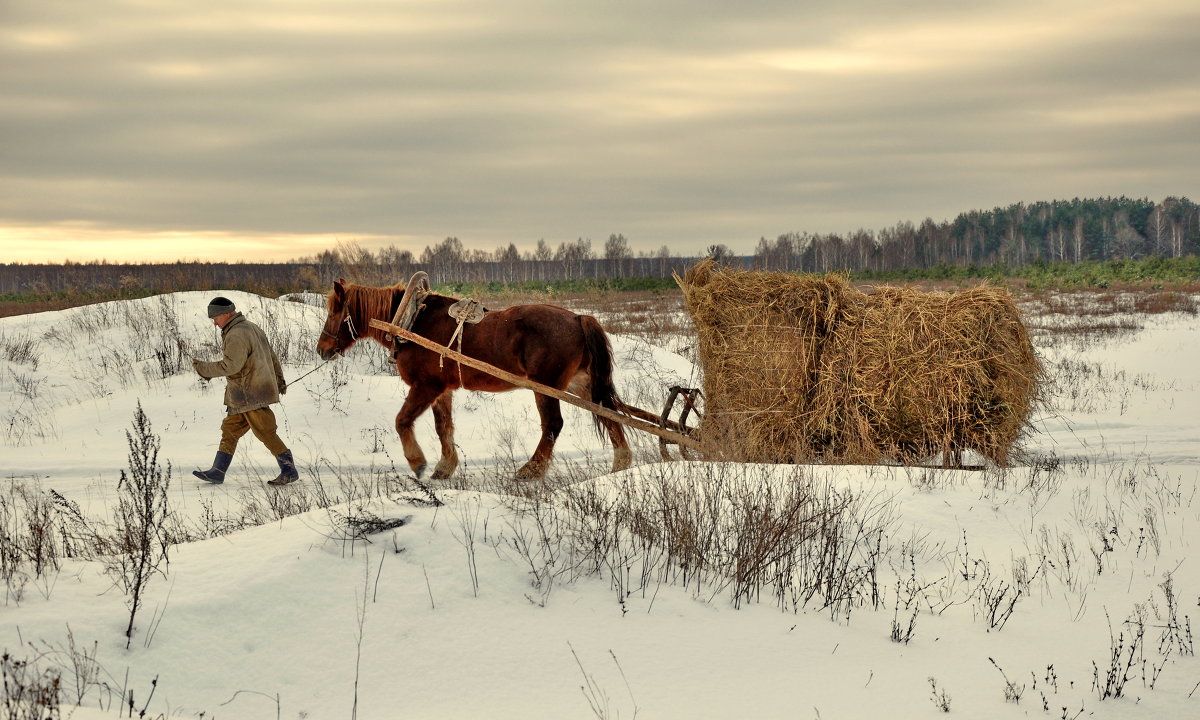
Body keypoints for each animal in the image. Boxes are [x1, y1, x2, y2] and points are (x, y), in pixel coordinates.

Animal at [319, 278, 652, 480]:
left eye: (335, 311)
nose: (322, 349)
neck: (413, 321)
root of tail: (578, 317)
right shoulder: (442, 389)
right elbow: (444, 428)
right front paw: (444, 467)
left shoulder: (426, 386)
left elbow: (402, 421)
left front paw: (418, 462)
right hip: (582, 384)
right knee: (608, 413)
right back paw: (621, 462)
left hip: (547, 387)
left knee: (553, 425)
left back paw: (531, 470)